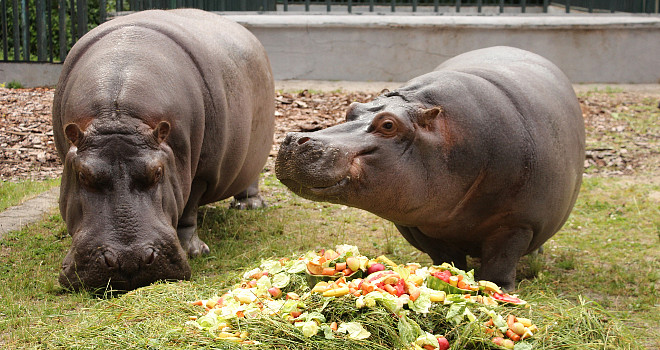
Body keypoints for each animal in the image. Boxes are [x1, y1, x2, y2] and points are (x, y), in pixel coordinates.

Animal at [52, 9, 276, 292]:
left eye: (157, 172)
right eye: (83, 174)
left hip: (257, 151)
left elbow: (188, 208)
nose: (129, 260)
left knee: (250, 180)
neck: (118, 116)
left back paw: (248, 206)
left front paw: (194, 251)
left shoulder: (200, 173)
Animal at [276, 47, 584, 292]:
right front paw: (444, 276)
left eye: (388, 124)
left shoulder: (517, 223)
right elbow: (445, 256)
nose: (293, 138)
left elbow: (501, 261)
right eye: (352, 109)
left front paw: (499, 290)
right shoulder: (417, 223)